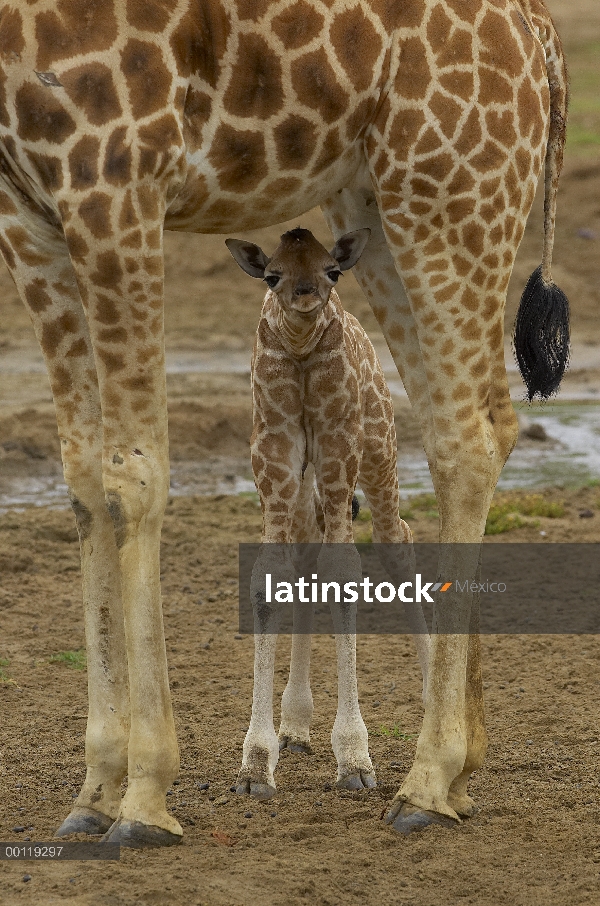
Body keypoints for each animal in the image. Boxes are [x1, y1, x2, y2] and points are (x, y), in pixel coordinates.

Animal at [227, 228, 428, 800]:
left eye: (332, 272)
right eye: (271, 276)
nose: (304, 298)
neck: (299, 352)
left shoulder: (341, 450)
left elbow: (345, 573)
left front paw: (355, 761)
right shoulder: (273, 458)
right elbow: (270, 578)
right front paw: (256, 764)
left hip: (379, 451)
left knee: (397, 538)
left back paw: (437, 701)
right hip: (303, 490)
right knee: (305, 560)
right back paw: (294, 726)